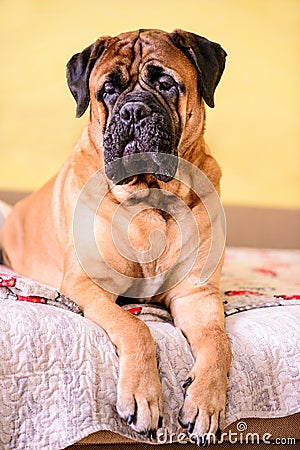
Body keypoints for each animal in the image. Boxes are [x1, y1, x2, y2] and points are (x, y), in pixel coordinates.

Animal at [0, 29, 232, 442]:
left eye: (166, 84)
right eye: (108, 90)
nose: (134, 111)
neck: (151, 198)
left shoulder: (197, 295)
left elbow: (219, 343)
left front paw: (206, 401)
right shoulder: (89, 285)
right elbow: (136, 326)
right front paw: (143, 395)